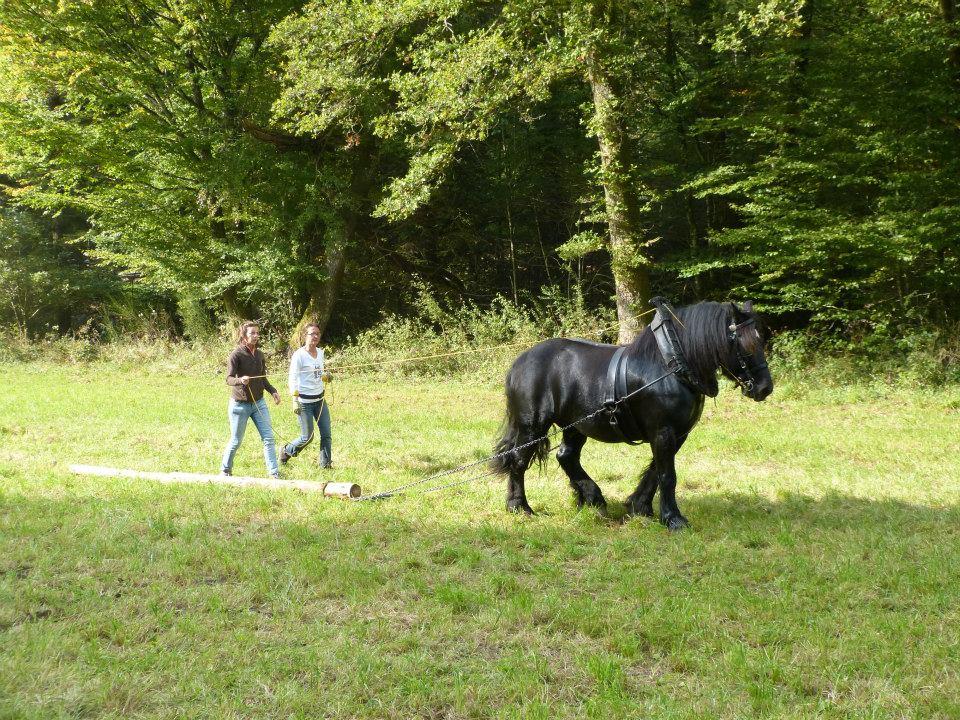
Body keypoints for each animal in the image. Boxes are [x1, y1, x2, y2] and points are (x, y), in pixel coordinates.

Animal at [492, 300, 776, 528]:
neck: (672, 365)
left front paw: (640, 506)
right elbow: (667, 475)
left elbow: (656, 471)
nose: (765, 388)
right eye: (745, 344)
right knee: (518, 461)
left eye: (761, 338)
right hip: (532, 426)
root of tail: (519, 362)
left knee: (566, 456)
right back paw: (520, 507)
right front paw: (673, 519)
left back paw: (593, 499)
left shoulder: (677, 433)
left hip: (576, 425)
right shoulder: (663, 431)